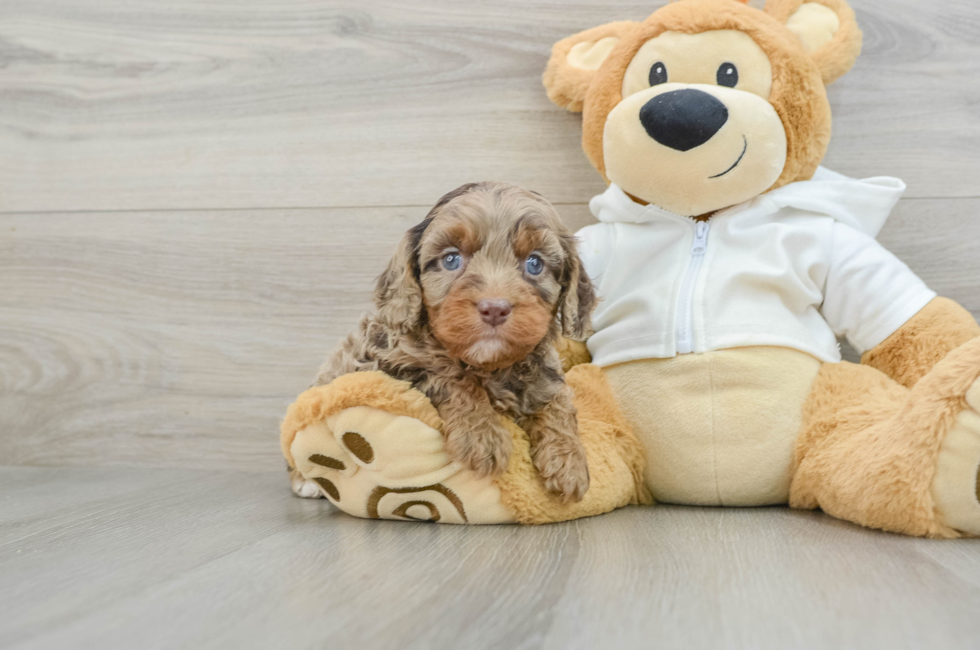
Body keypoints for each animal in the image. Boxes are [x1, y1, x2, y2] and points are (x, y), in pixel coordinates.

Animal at [294, 181, 592, 502]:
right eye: (451, 259)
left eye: (535, 263)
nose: (494, 308)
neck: (489, 365)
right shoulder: (397, 362)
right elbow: (450, 376)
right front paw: (481, 436)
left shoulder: (545, 373)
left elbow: (559, 403)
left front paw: (569, 462)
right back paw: (307, 480)